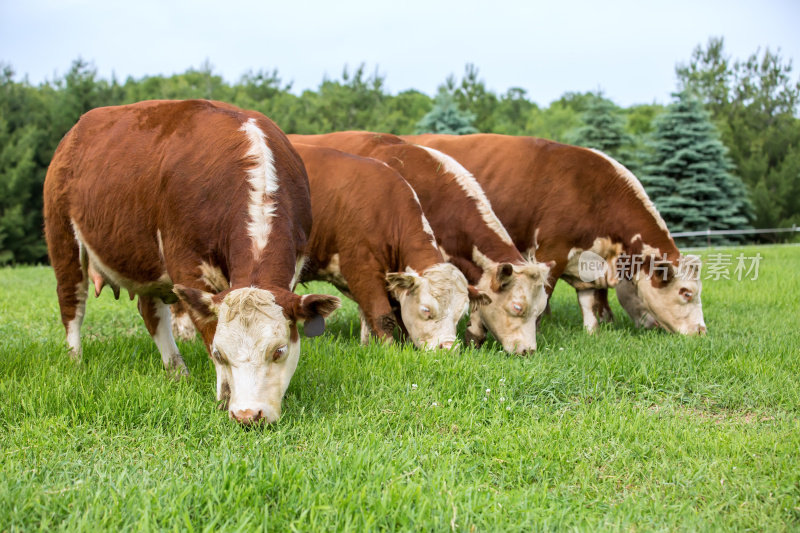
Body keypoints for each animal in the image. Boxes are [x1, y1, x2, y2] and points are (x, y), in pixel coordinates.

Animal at [43, 100, 340, 424]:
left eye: (279, 350)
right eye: (221, 353)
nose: (248, 415)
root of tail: (75, 131)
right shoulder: (186, 268)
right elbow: (207, 331)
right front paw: (225, 394)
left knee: (152, 313)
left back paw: (177, 371)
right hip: (63, 239)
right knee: (72, 304)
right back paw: (75, 360)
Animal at [406, 133, 708, 334]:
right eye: (686, 293)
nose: (701, 332)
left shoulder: (587, 262)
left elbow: (590, 301)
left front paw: (593, 332)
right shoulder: (552, 250)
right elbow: (545, 294)